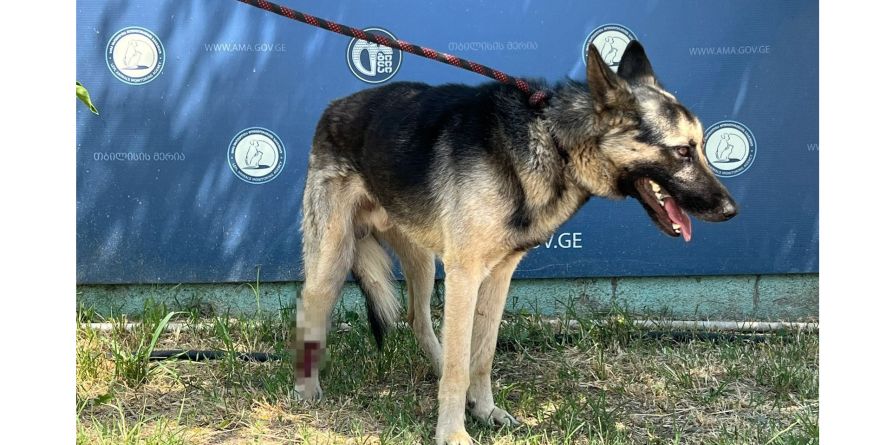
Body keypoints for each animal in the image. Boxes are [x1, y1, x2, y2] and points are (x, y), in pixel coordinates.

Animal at [294, 40, 740, 442]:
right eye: (682, 151)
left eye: (701, 147)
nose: (731, 210)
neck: (554, 142)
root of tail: (334, 108)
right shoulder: (465, 274)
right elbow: (461, 364)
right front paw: (452, 433)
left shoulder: (498, 274)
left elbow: (480, 353)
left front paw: (484, 409)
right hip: (334, 258)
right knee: (311, 306)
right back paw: (306, 388)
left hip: (421, 261)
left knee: (419, 319)